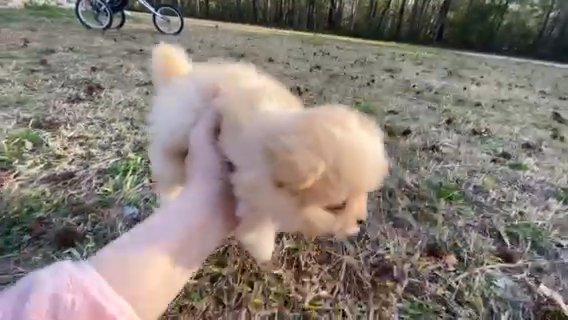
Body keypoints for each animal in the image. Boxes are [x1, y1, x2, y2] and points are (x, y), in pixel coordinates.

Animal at [148, 42, 390, 262]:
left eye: (364, 194)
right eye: (338, 206)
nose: (361, 220)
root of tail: (182, 75)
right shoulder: (249, 180)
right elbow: (256, 219)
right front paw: (262, 246)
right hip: (178, 129)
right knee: (167, 164)